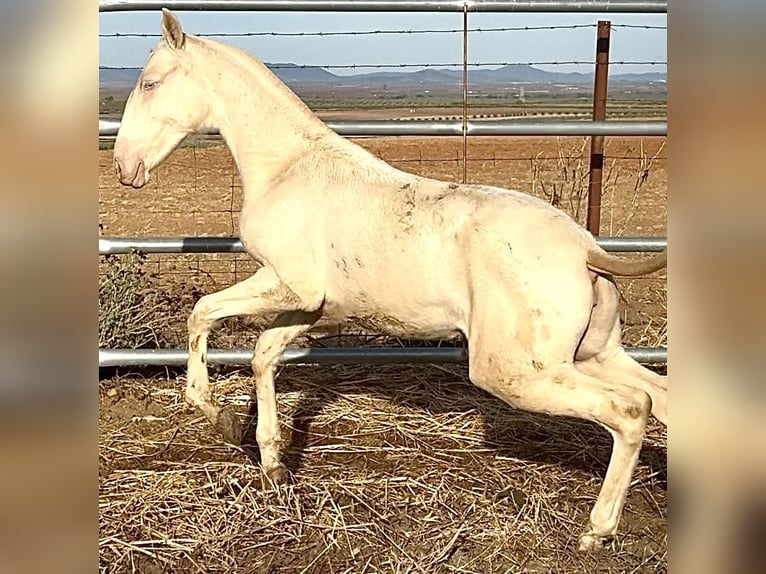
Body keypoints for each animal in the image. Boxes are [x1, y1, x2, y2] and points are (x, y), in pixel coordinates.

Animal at [113, 9, 667, 552]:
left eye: (150, 82)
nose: (124, 166)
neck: (288, 168)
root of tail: (587, 250)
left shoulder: (289, 284)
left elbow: (203, 312)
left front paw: (223, 420)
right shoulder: (314, 306)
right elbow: (264, 354)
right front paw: (273, 465)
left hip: (515, 371)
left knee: (632, 408)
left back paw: (596, 530)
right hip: (594, 354)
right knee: (661, 397)